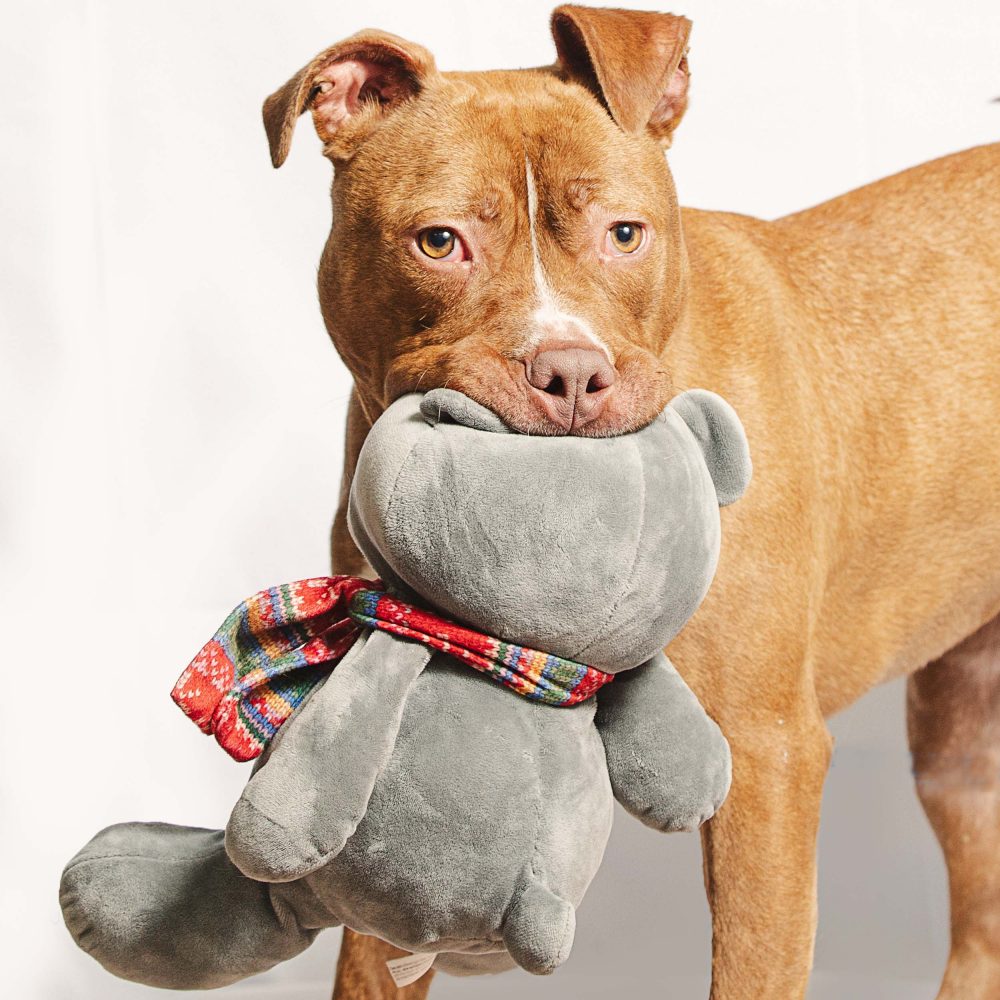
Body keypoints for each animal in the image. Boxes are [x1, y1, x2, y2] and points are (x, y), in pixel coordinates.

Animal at [260, 7, 1000, 1000]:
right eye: (439, 242)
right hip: (961, 738)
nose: (570, 372)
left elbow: (753, 964)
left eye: (624, 234)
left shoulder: (766, 758)